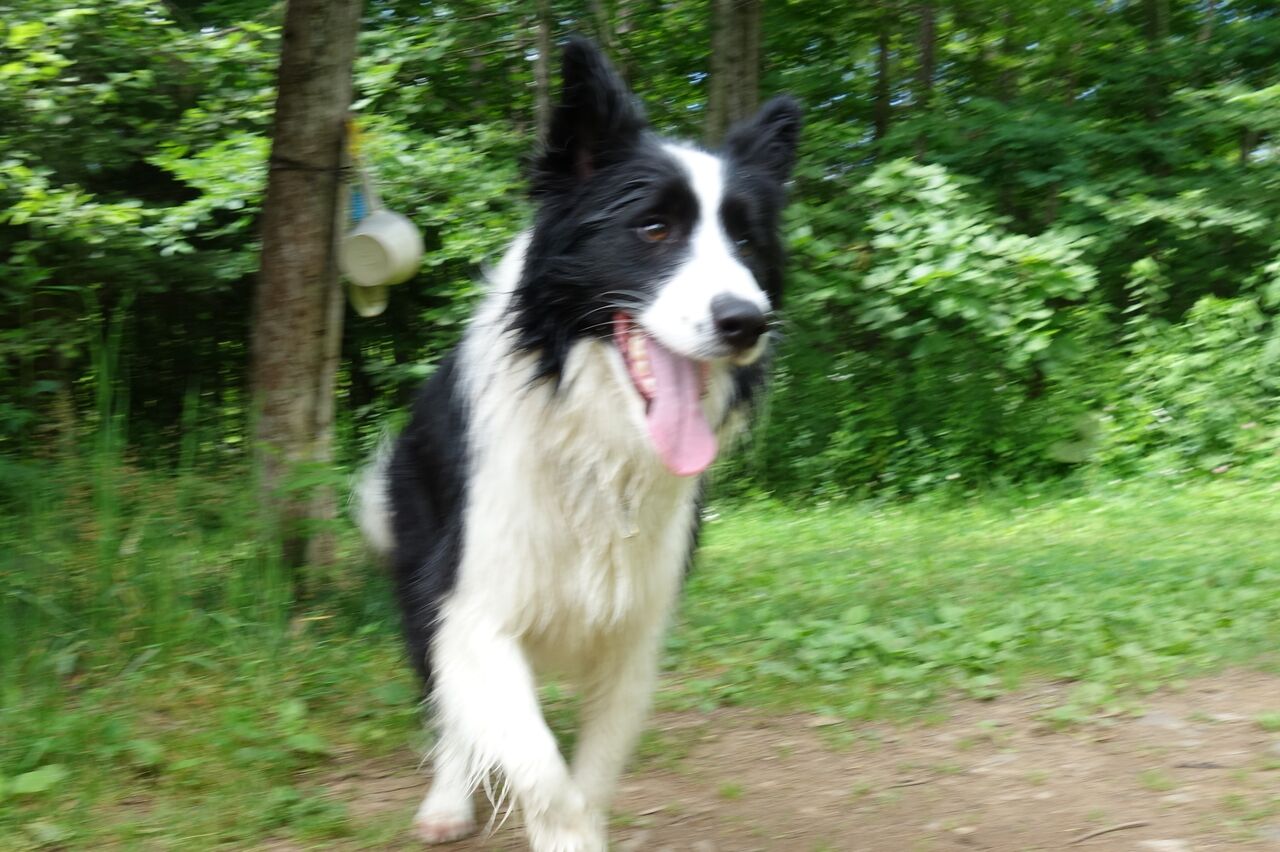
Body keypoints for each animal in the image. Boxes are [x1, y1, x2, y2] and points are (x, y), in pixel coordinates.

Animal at [356, 38, 800, 851]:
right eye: (653, 229)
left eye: (747, 239)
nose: (745, 322)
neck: (600, 441)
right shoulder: (476, 607)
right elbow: (541, 770)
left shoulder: (636, 631)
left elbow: (589, 777)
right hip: (421, 578)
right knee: (446, 709)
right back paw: (447, 803)